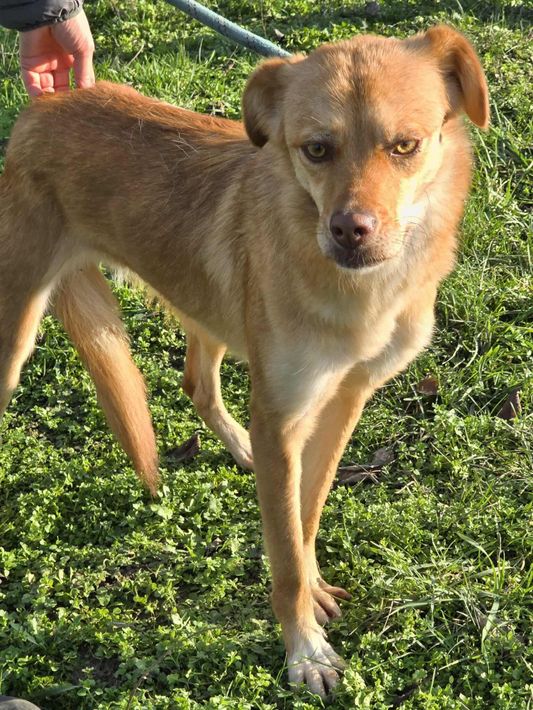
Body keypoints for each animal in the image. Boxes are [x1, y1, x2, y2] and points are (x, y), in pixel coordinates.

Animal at [0, 25, 488, 696]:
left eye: (405, 146)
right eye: (316, 149)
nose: (349, 230)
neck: (362, 294)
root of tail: (43, 106)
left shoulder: (342, 400)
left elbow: (303, 517)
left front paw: (313, 588)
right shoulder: (282, 414)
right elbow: (284, 551)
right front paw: (304, 649)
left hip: (210, 305)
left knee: (197, 384)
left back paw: (238, 447)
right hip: (17, 325)